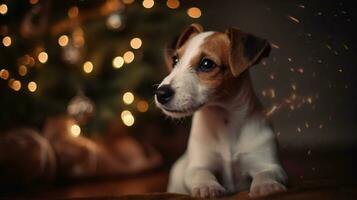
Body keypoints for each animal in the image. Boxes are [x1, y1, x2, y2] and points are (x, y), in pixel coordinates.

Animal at [154, 24, 286, 198]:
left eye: (206, 64)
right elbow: (201, 173)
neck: (224, 119)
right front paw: (207, 186)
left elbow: (266, 173)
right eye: (175, 60)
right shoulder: (197, 165)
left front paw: (267, 186)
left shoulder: (269, 163)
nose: (161, 93)